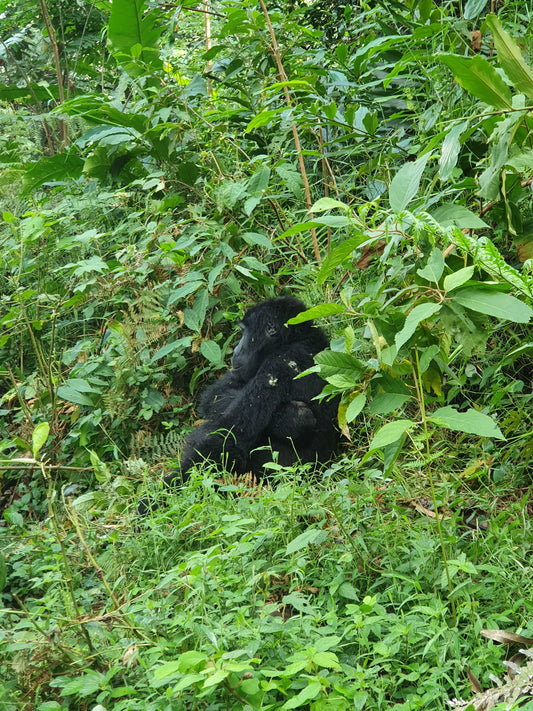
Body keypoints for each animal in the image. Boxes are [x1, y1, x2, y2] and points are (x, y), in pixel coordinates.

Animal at [142, 296, 336, 512]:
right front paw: (290, 419)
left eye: (244, 332)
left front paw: (159, 497)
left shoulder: (281, 363)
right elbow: (216, 396)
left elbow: (230, 435)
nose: (235, 349)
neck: (296, 338)